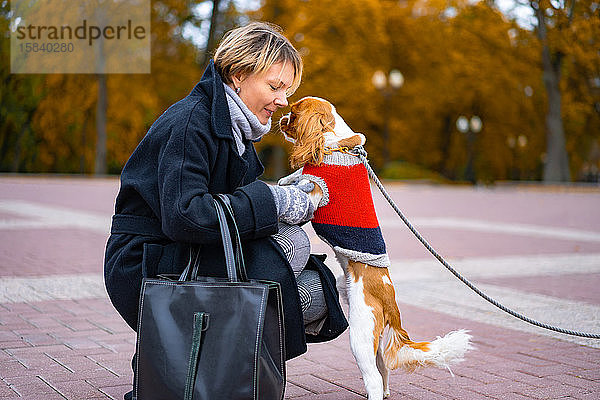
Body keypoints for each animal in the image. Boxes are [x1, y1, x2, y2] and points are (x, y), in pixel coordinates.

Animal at [278, 96, 474, 396]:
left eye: (294, 113)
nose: (280, 118)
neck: (336, 144)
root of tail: (390, 301)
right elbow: (300, 172)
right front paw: (286, 177)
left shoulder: (315, 194)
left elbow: (304, 182)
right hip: (371, 334)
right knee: (383, 372)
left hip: (360, 333)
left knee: (372, 378)